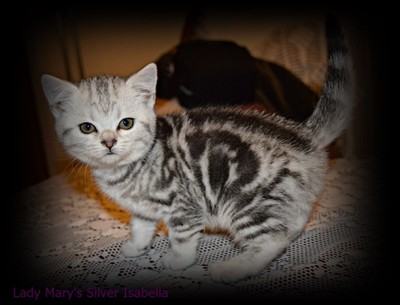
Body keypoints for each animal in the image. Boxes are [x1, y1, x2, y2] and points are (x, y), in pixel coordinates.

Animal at [41, 18, 354, 280]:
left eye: (126, 123)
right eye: (87, 128)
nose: (108, 142)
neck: (128, 169)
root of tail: (302, 134)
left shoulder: (183, 204)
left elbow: (181, 237)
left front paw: (178, 261)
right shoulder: (143, 208)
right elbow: (141, 226)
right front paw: (136, 246)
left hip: (243, 199)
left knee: (272, 240)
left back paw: (232, 269)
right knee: (289, 225)